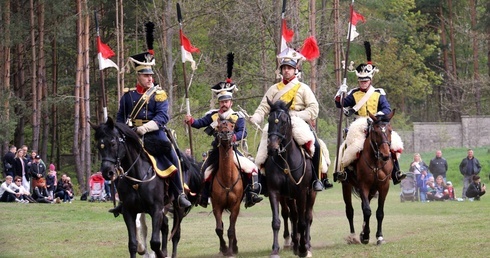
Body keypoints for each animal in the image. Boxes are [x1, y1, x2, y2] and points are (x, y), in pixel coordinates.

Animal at [91, 118, 200, 256]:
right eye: (99, 146)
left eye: (113, 143)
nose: (107, 172)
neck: (137, 178)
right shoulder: (129, 211)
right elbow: (133, 244)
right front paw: (143, 249)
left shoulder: (156, 209)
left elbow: (155, 242)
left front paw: (158, 254)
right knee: (165, 225)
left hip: (178, 207)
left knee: (176, 234)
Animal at [264, 99, 318, 258]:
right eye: (269, 120)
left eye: (284, 121)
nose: (272, 148)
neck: (286, 161)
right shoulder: (275, 192)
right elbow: (276, 221)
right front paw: (275, 249)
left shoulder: (302, 192)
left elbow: (303, 222)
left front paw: (303, 249)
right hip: (289, 197)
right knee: (293, 216)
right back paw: (295, 243)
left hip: (311, 193)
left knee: (307, 217)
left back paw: (306, 244)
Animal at [342, 110, 396, 245]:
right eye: (375, 132)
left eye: (390, 130)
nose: (385, 155)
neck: (376, 161)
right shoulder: (363, 186)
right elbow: (367, 210)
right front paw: (365, 235)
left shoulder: (384, 186)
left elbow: (379, 212)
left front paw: (379, 236)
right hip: (346, 186)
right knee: (350, 211)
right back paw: (353, 236)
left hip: (372, 190)